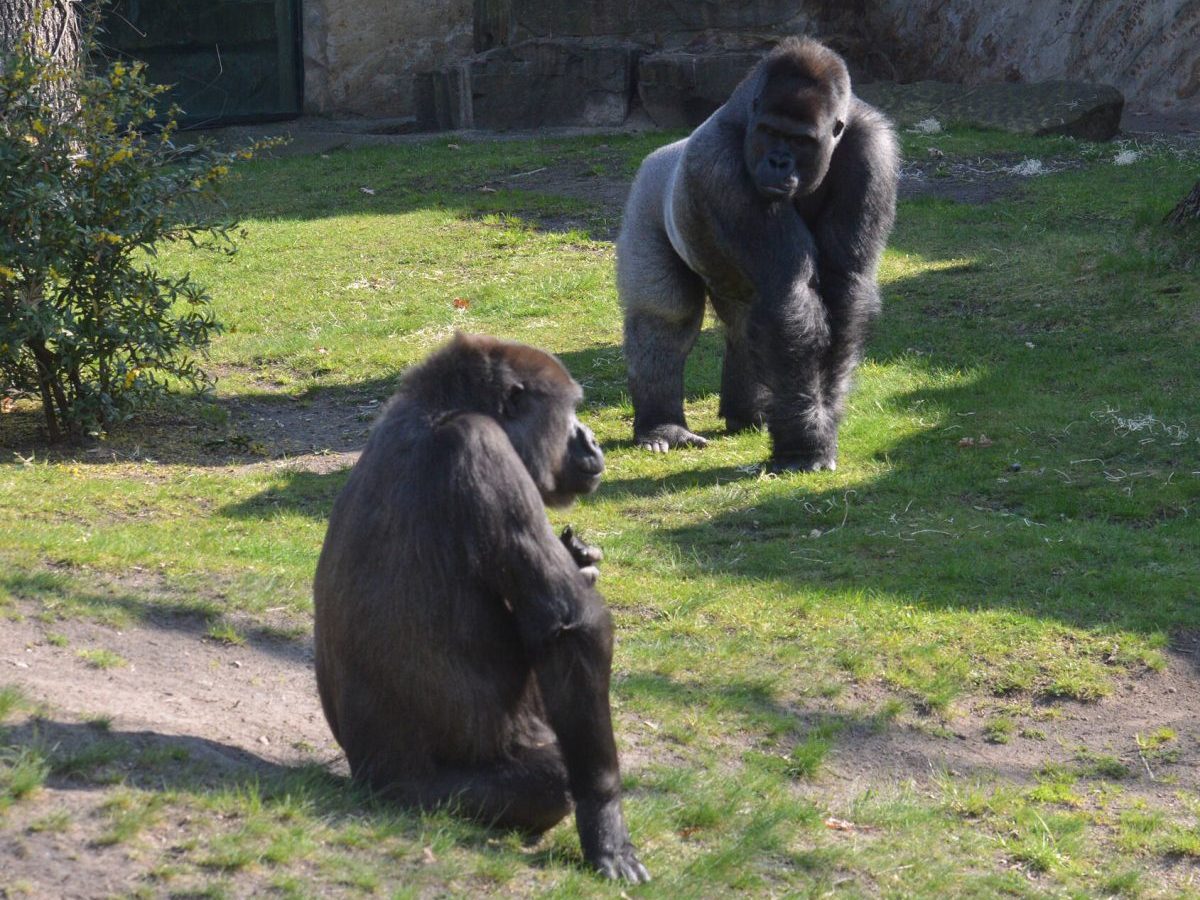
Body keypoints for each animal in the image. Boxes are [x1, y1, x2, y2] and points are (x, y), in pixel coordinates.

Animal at [309, 336, 648, 883]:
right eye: (570, 410)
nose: (592, 440)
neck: (439, 409)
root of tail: (371, 782)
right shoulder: (483, 450)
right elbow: (569, 626)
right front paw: (606, 821)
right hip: (433, 796)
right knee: (550, 780)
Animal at [619, 35, 902, 472]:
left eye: (800, 140)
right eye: (770, 132)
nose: (777, 161)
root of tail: (662, 152)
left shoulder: (874, 152)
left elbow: (845, 288)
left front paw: (814, 421)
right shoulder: (719, 163)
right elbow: (791, 290)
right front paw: (805, 442)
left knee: (745, 327)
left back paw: (747, 413)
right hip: (647, 192)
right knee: (665, 317)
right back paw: (661, 426)